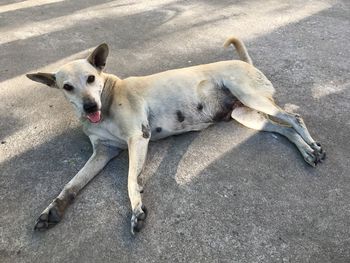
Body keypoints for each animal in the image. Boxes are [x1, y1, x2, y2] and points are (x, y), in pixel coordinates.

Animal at [26, 36, 326, 235]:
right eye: (67, 87)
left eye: (91, 79)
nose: (90, 107)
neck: (108, 96)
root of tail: (246, 63)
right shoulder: (103, 151)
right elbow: (72, 184)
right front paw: (53, 209)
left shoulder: (138, 138)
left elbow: (130, 180)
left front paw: (136, 209)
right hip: (246, 114)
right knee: (282, 129)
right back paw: (307, 151)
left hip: (251, 97)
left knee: (294, 118)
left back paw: (313, 145)